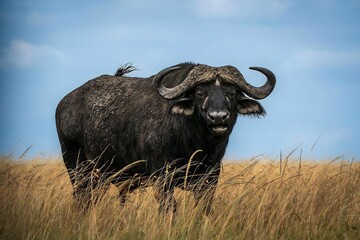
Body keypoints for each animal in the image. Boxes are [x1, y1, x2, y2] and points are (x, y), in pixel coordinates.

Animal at [56, 62, 276, 214]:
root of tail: (65, 103)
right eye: (200, 92)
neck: (197, 145)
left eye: (231, 92)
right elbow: (170, 208)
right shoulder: (162, 178)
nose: (218, 117)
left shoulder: (210, 177)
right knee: (81, 198)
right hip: (77, 167)